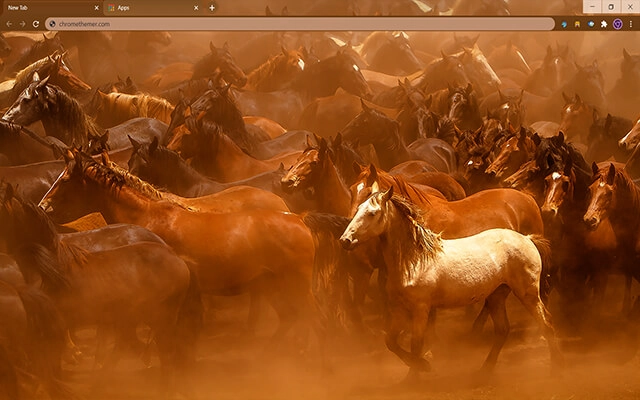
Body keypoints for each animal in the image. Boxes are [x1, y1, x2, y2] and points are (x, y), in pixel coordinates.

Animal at [38, 151, 317, 343]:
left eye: (65, 180)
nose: (42, 206)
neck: (148, 217)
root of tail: (297, 218)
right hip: (272, 286)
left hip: (296, 286)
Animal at [339, 188, 562, 378]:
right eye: (358, 209)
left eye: (372, 213)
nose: (345, 240)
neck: (414, 259)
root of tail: (528, 239)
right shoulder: (401, 309)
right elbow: (391, 342)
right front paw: (417, 369)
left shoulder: (421, 309)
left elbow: (416, 343)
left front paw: (418, 372)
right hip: (497, 296)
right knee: (502, 331)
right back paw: (484, 371)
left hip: (528, 293)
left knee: (547, 324)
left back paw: (554, 369)